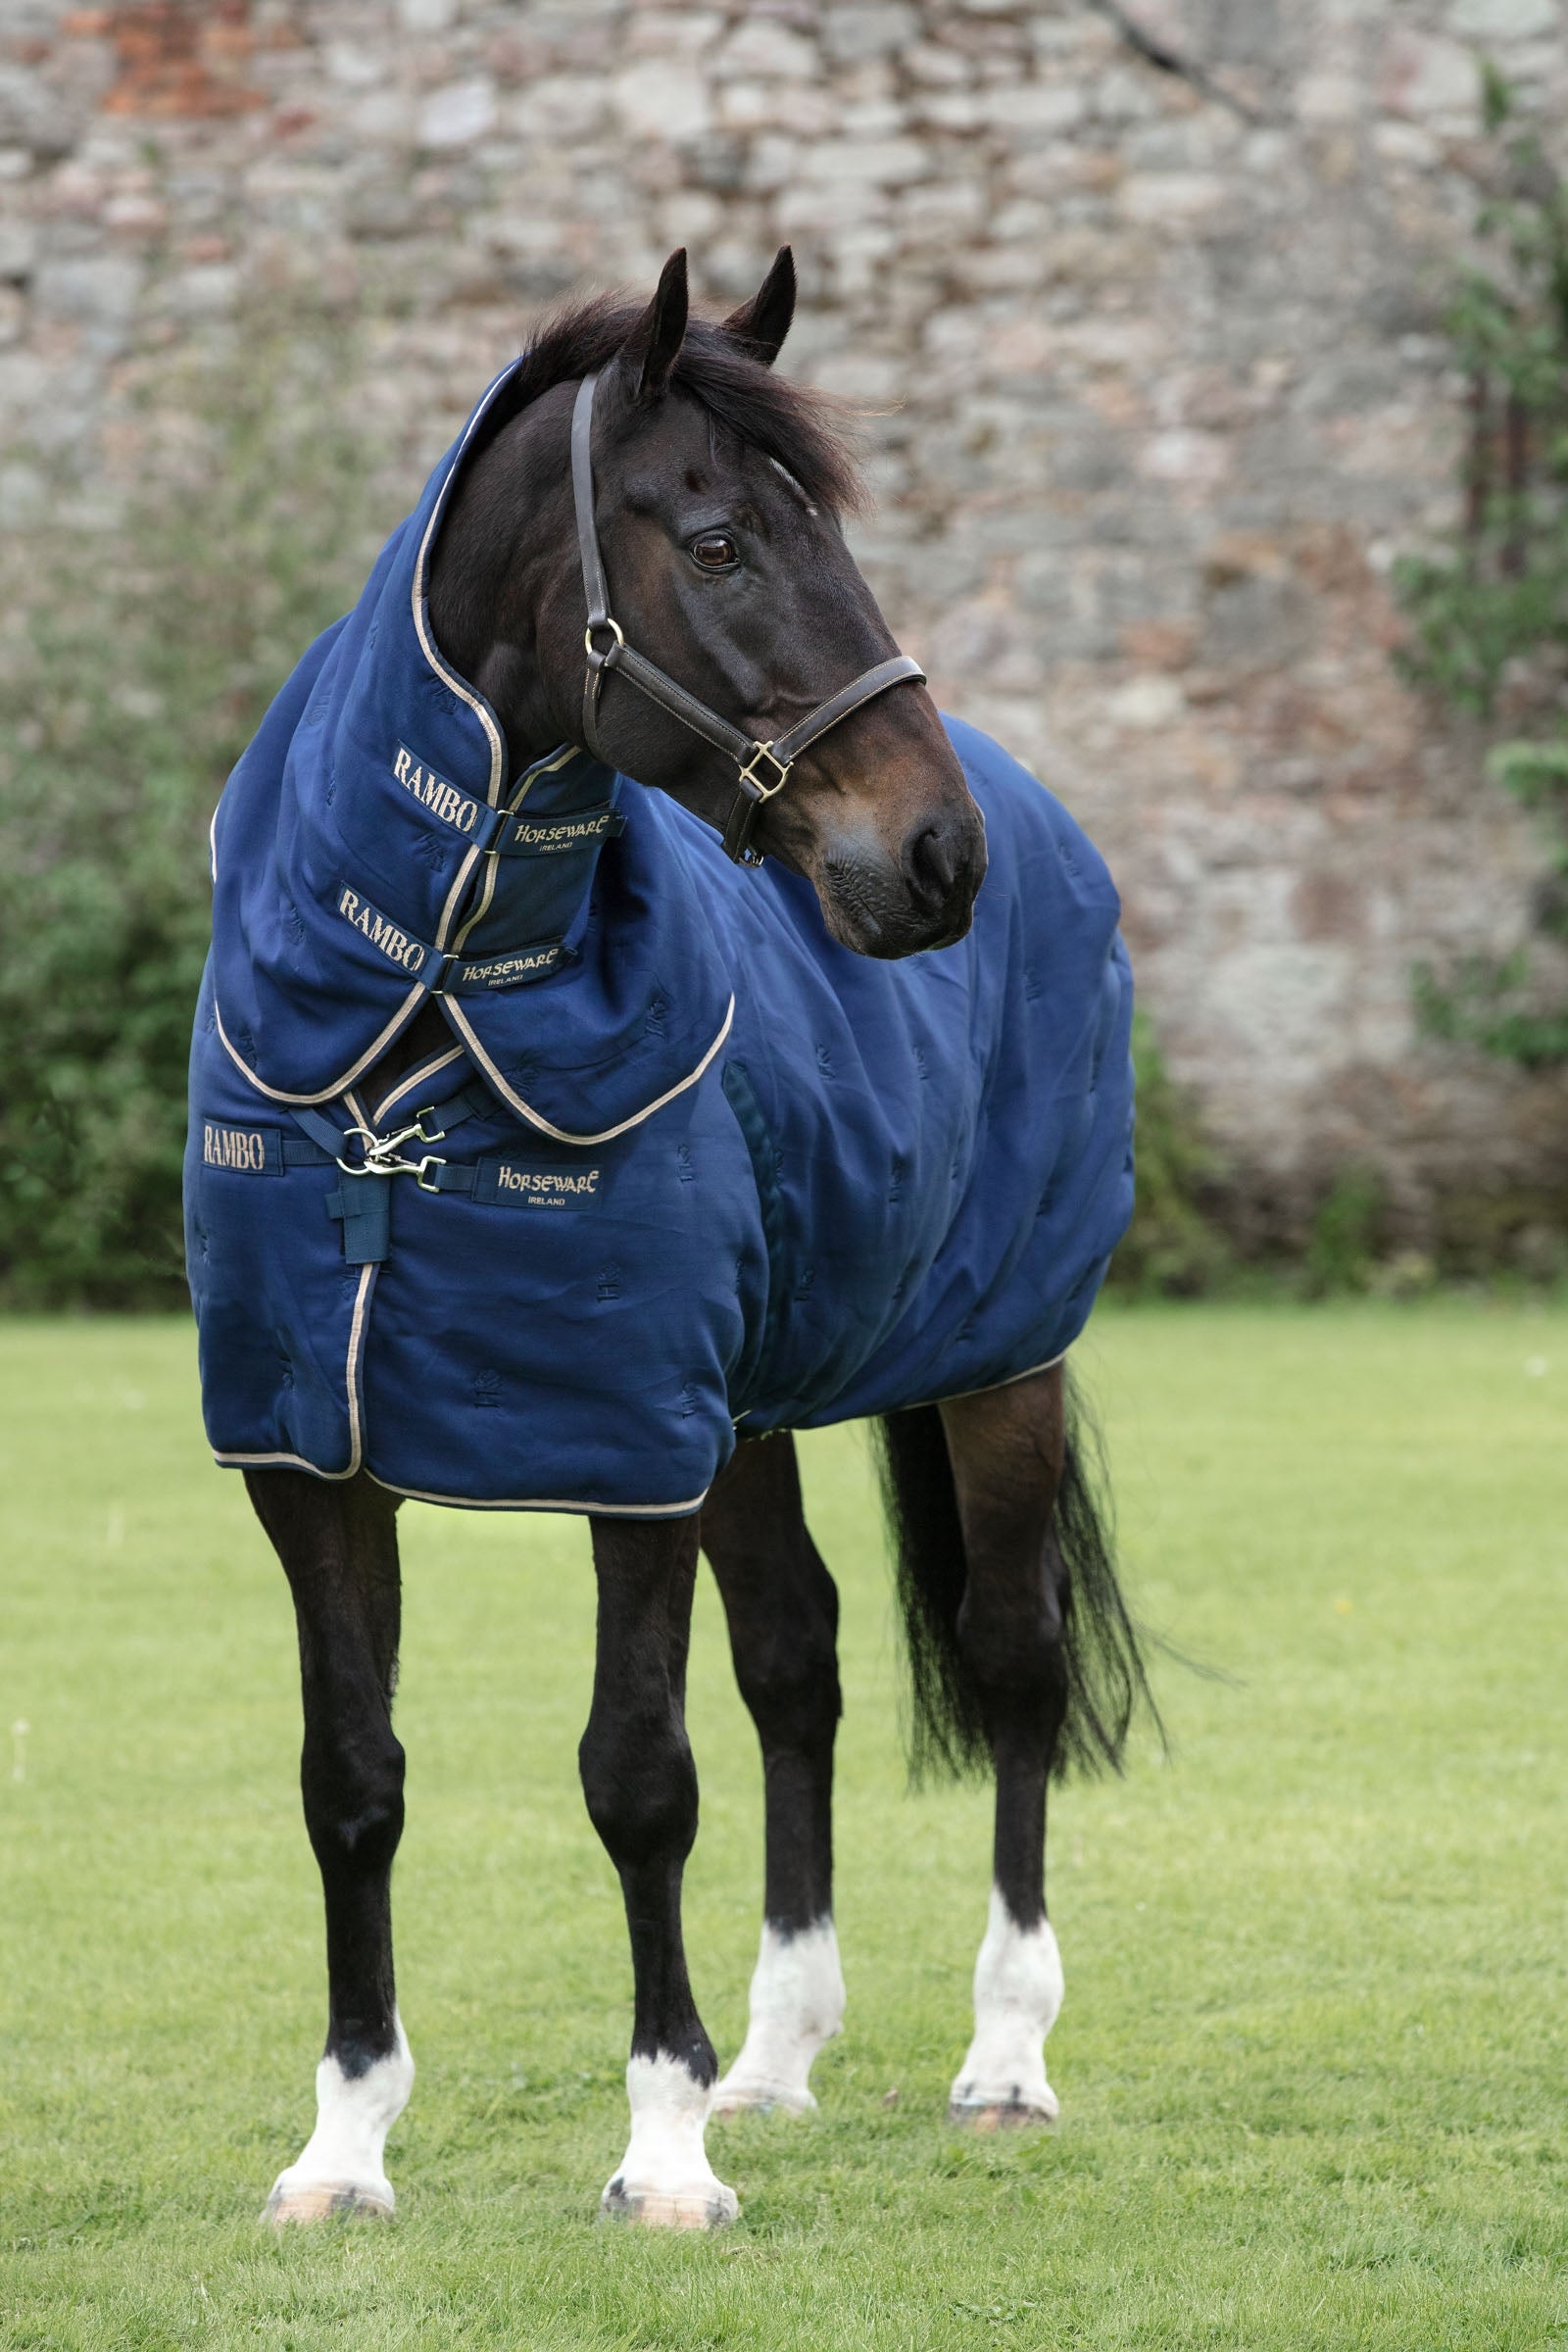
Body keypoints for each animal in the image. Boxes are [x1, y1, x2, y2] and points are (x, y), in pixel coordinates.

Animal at [183, 246, 1151, 2230]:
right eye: (716, 543)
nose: (934, 857)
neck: (429, 1010)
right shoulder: (317, 1460)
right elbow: (351, 1777)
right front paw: (344, 2145)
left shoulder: (619, 1446)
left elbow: (637, 1775)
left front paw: (663, 2153)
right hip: (751, 1415)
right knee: (798, 1659)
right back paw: (777, 2061)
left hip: (1002, 1358)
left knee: (1012, 1657)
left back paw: (1003, 2058)